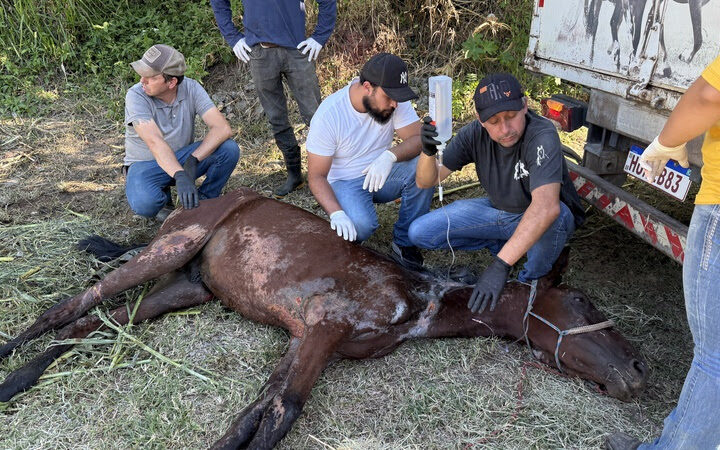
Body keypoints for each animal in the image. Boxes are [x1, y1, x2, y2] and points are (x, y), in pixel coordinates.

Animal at [0, 188, 648, 449]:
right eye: (586, 305)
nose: (639, 373)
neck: (414, 297)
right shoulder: (323, 327)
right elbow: (281, 414)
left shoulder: (305, 340)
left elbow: (258, 413)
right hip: (169, 251)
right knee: (70, 307)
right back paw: (9, 367)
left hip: (185, 287)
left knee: (99, 323)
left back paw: (24, 376)